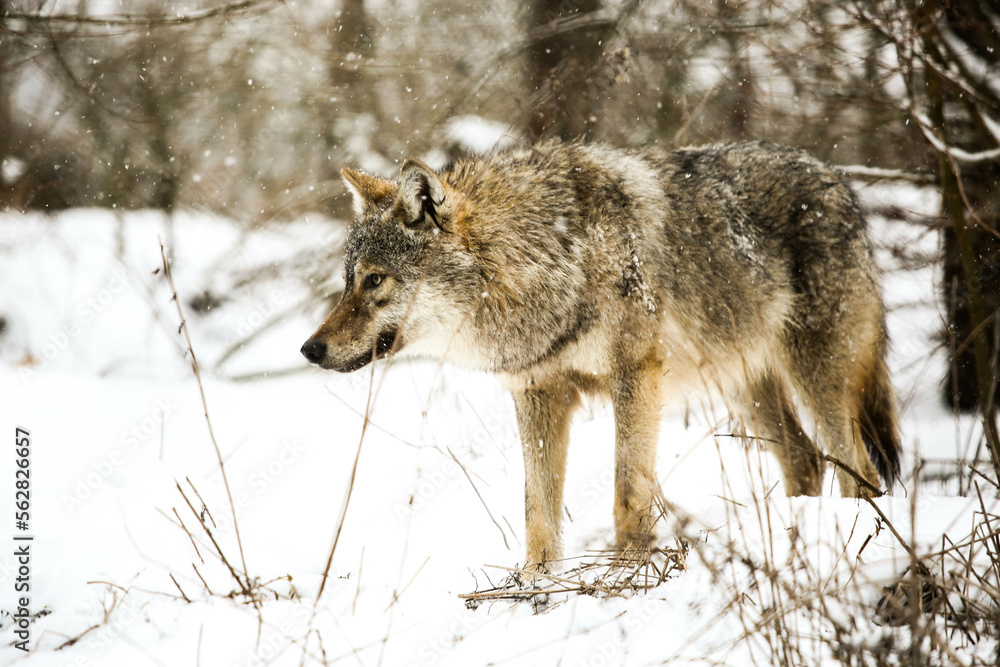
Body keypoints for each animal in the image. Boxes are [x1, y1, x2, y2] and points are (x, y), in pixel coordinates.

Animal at [301, 139, 901, 570]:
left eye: (375, 281)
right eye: (347, 281)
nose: (308, 349)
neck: (548, 258)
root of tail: (838, 178)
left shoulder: (636, 374)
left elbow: (627, 490)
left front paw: (626, 573)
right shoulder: (537, 394)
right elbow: (538, 512)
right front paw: (536, 588)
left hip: (815, 378)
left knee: (860, 469)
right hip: (742, 385)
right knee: (806, 460)